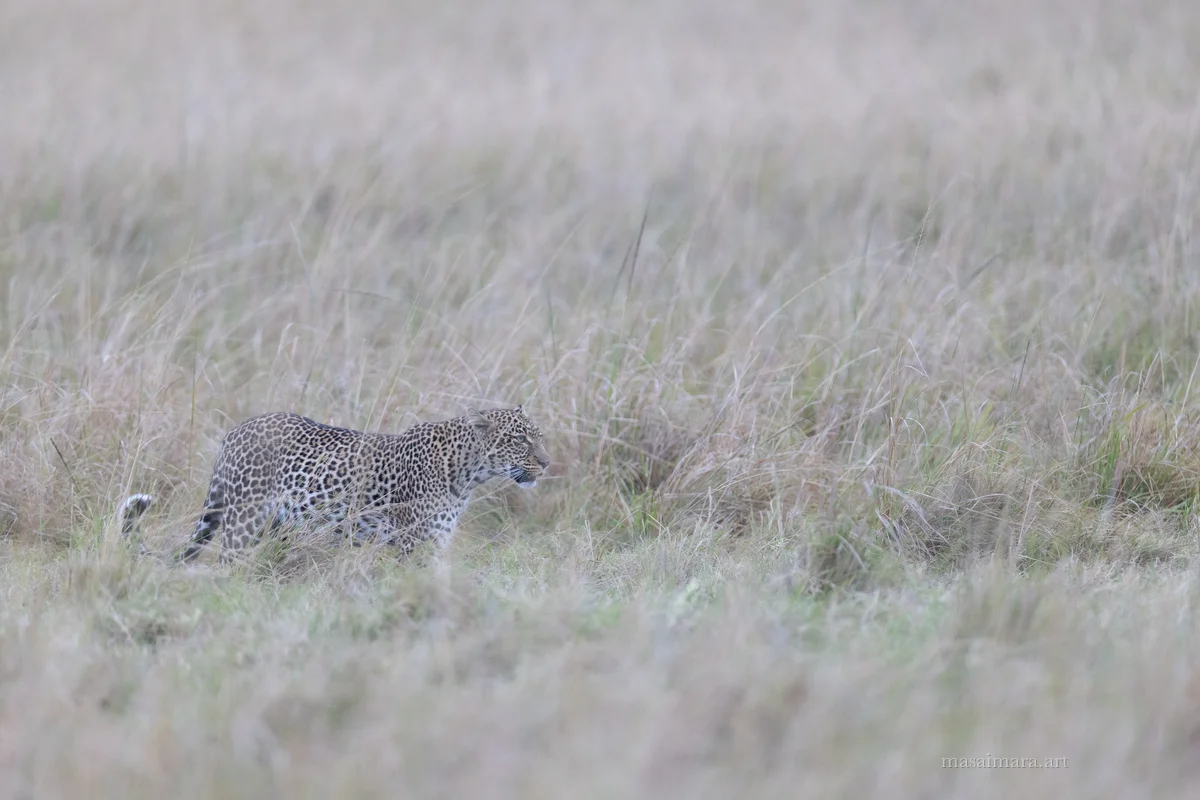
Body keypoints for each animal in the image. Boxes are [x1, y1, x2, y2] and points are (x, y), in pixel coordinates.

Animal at [118, 405, 549, 565]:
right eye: (520, 439)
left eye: (539, 436)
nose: (546, 463)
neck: (467, 472)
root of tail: (236, 431)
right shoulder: (414, 542)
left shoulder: (436, 541)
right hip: (244, 520)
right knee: (227, 563)